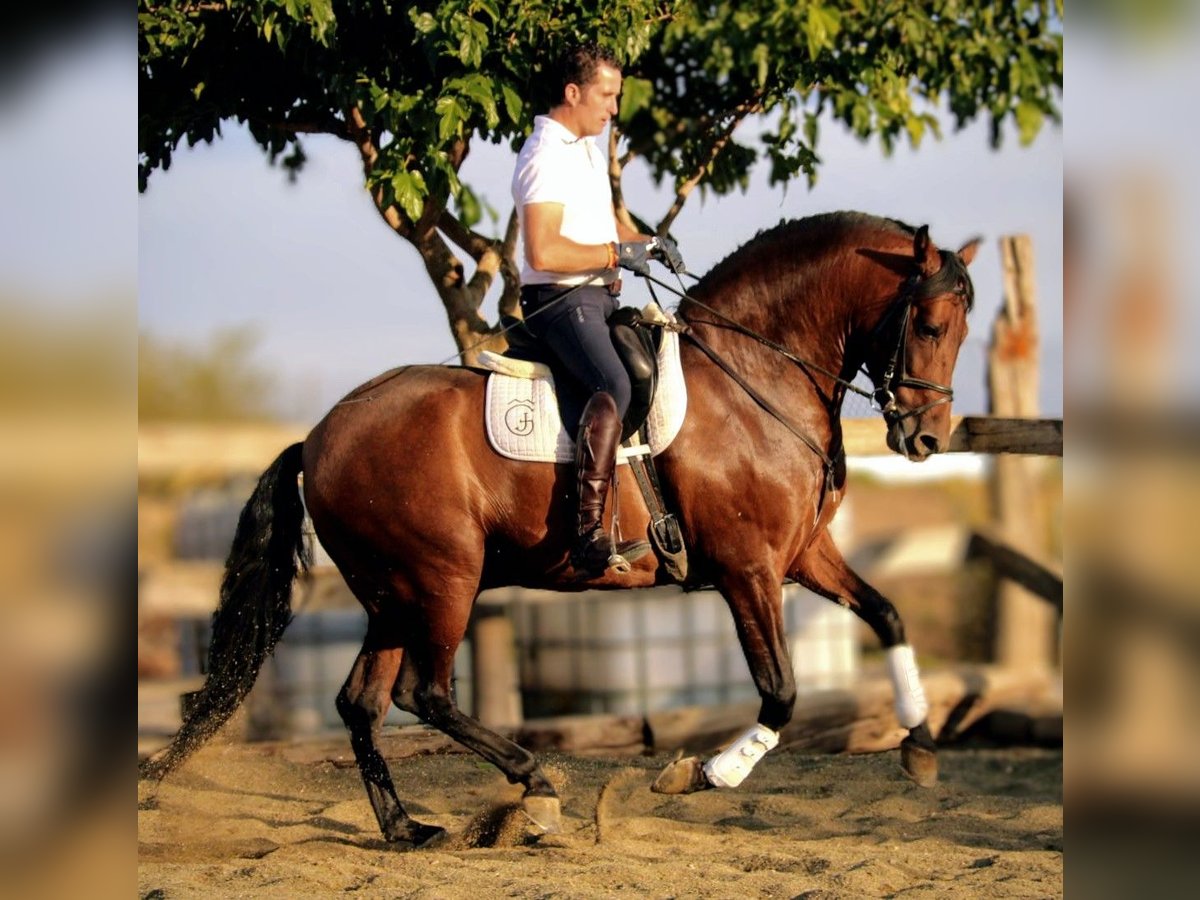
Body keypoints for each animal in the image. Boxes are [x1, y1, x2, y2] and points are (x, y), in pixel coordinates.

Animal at [139, 210, 980, 847]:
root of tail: (317, 437)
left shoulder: (803, 552)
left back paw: (407, 829)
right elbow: (781, 693)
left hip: (391, 594)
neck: (752, 377)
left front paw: (920, 746)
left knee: (362, 702)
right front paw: (700, 773)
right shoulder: (749, 569)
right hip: (443, 578)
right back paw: (534, 787)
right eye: (931, 323)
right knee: (423, 691)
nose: (927, 438)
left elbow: (887, 614)